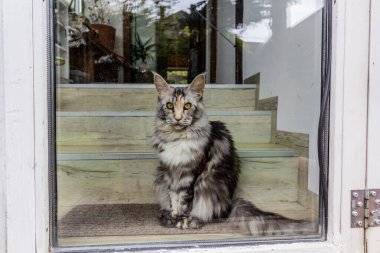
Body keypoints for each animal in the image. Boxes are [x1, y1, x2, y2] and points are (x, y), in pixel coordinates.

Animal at [151, 72, 314, 236]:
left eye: (187, 106)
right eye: (170, 106)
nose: (178, 118)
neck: (177, 138)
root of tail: (230, 203)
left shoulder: (191, 174)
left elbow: (185, 201)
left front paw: (182, 220)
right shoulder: (170, 171)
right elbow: (173, 198)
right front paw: (173, 216)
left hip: (211, 181)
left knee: (212, 212)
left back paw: (195, 220)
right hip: (161, 176)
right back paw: (166, 217)